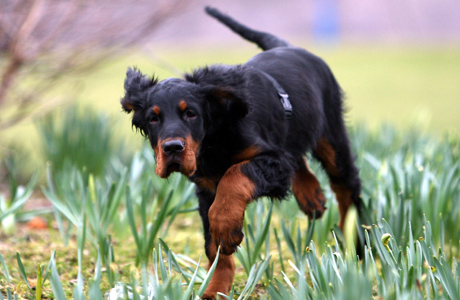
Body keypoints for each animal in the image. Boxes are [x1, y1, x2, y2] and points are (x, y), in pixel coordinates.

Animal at [120, 6, 364, 298]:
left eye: (191, 113)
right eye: (153, 118)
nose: (172, 148)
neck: (213, 138)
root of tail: (289, 47)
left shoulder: (271, 160)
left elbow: (235, 176)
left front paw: (226, 229)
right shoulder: (206, 186)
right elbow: (213, 246)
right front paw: (216, 288)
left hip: (331, 134)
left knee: (346, 186)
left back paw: (356, 245)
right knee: (300, 160)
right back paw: (311, 195)